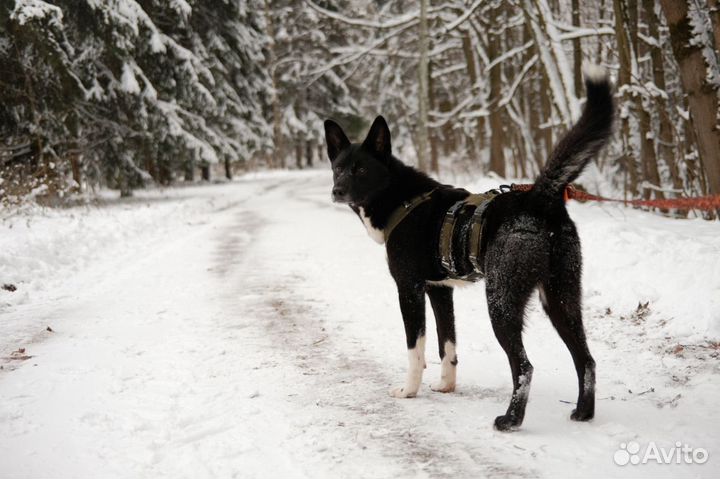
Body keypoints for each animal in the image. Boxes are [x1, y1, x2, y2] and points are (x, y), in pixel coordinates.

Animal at [326, 66, 612, 432]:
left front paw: (409, 390)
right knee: (586, 359)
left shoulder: (409, 288)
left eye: (360, 169)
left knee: (524, 367)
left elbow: (415, 349)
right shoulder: (439, 291)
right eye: (338, 167)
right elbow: (446, 344)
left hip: (501, 300)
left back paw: (511, 420)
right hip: (561, 299)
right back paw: (583, 412)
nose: (337, 190)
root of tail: (539, 199)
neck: (402, 200)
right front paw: (446, 385)